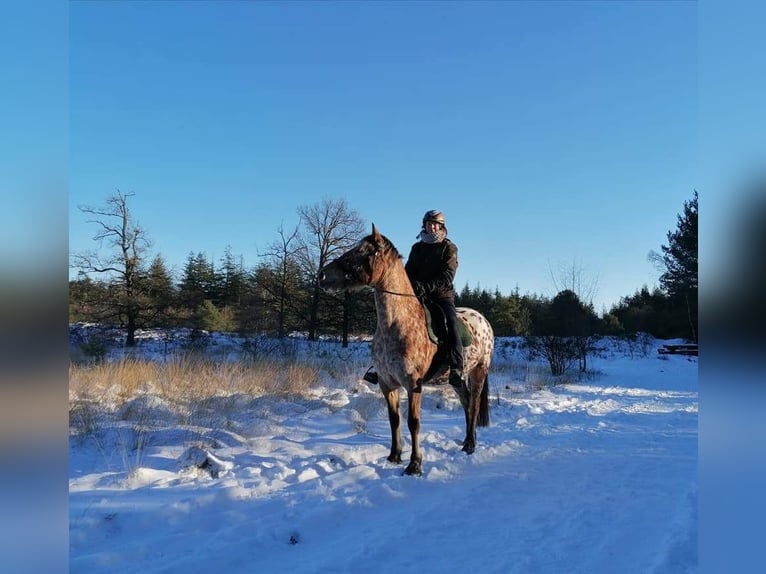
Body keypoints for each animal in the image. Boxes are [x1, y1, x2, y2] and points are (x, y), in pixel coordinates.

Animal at [320, 225, 496, 476]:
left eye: (361, 252)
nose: (322, 275)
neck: (396, 324)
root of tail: (483, 320)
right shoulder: (386, 383)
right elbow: (394, 419)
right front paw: (394, 456)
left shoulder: (413, 384)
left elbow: (414, 422)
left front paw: (414, 464)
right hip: (457, 377)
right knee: (466, 402)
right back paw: (465, 442)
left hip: (479, 371)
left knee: (473, 403)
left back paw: (471, 445)